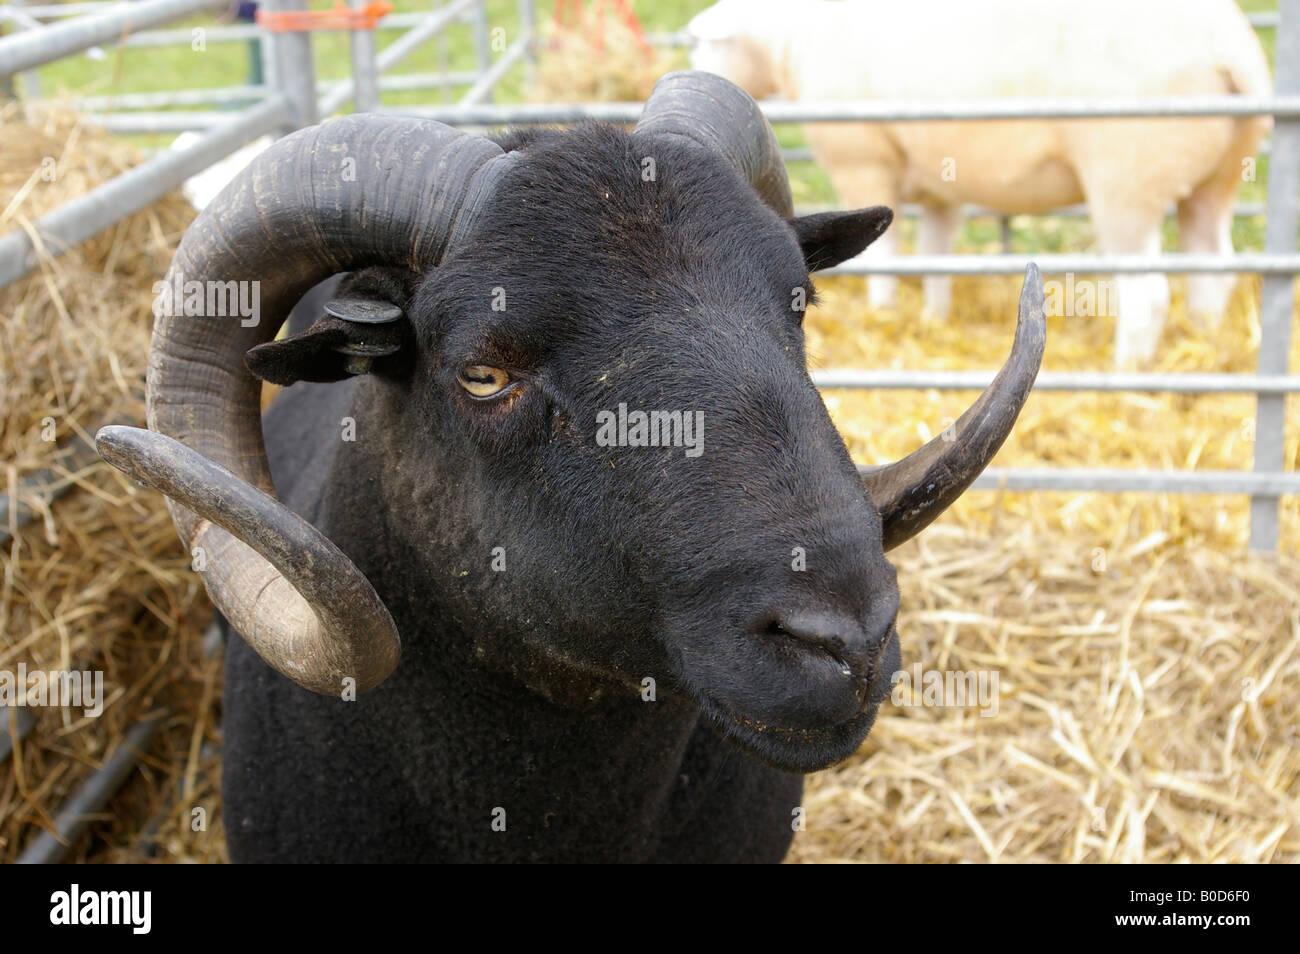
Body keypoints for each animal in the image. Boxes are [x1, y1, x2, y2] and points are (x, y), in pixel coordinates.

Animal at [691, 0, 1268, 369]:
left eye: (703, 45)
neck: (790, 40)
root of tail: (1231, 50)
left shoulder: (862, 159)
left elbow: (886, 257)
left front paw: (881, 311)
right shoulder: (939, 187)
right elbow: (934, 253)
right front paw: (933, 316)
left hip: (1128, 181)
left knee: (1148, 296)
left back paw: (1125, 369)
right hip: (1217, 181)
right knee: (1214, 270)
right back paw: (1204, 341)